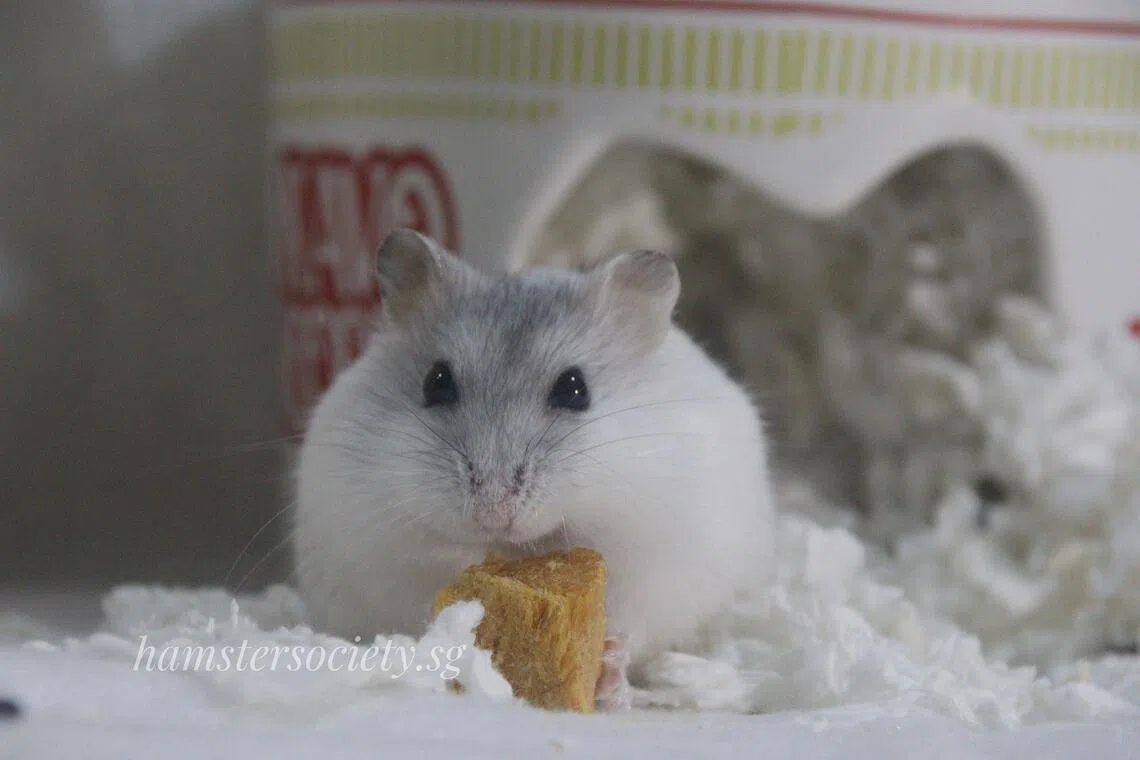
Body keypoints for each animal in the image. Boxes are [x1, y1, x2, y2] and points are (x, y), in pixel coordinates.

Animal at [292, 229, 776, 675]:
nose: (491, 513)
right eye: (436, 381)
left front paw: (610, 672)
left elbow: (631, 622)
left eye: (575, 389)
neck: (519, 546)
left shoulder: (662, 557)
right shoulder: (375, 538)